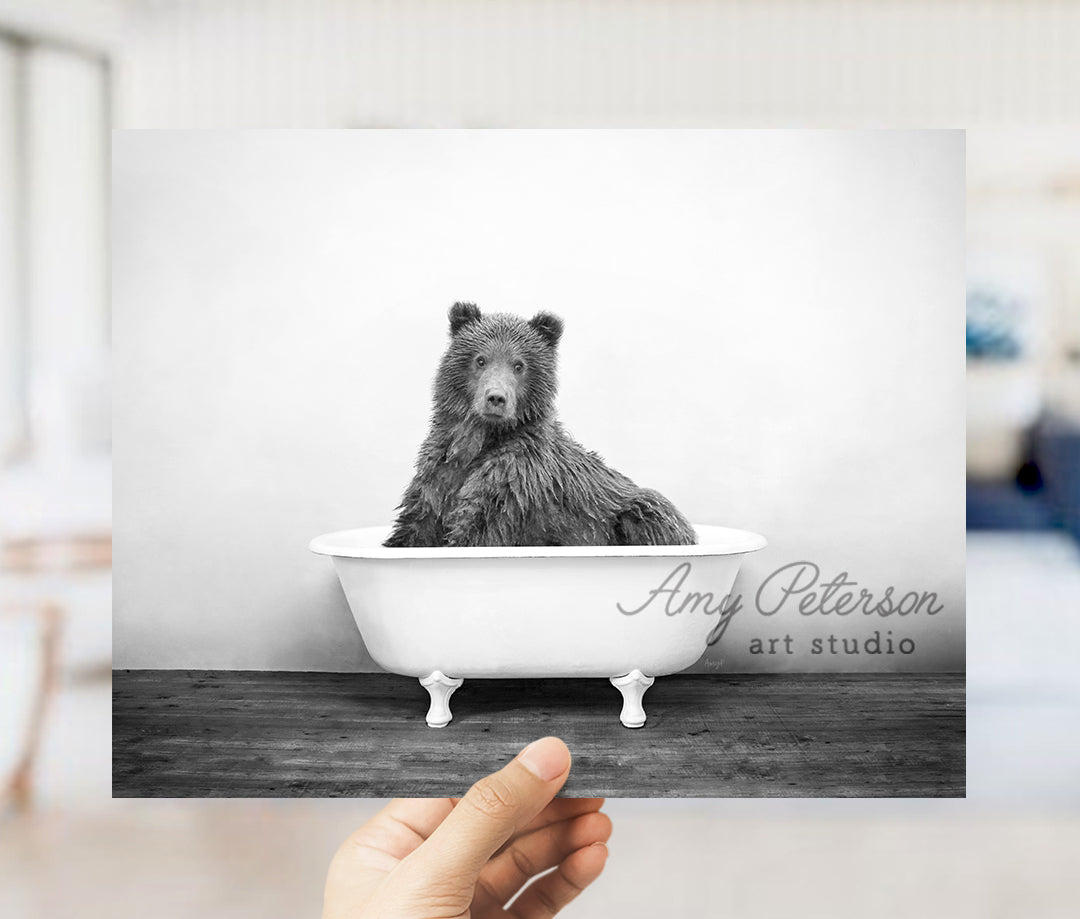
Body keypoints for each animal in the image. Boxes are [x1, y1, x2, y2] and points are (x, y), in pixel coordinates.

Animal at [384, 302, 695, 550]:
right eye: (480, 360)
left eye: (519, 365)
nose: (496, 398)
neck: (481, 438)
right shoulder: (439, 471)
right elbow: (416, 525)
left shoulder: (516, 477)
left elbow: (480, 528)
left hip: (634, 510)